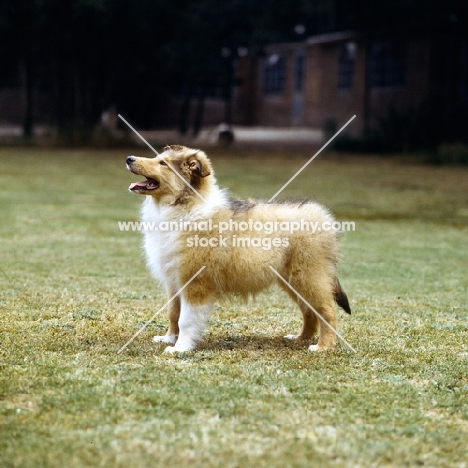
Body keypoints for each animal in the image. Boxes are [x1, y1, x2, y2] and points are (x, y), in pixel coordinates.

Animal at [125, 144, 352, 352]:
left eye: (163, 163)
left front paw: (180, 348)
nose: (129, 158)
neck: (183, 206)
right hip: (292, 279)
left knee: (327, 310)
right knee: (309, 311)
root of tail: (323, 216)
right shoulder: (173, 280)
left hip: (309, 275)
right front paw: (168, 339)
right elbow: (173, 313)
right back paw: (299, 338)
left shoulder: (195, 281)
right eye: (158, 158)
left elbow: (186, 319)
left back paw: (323, 347)